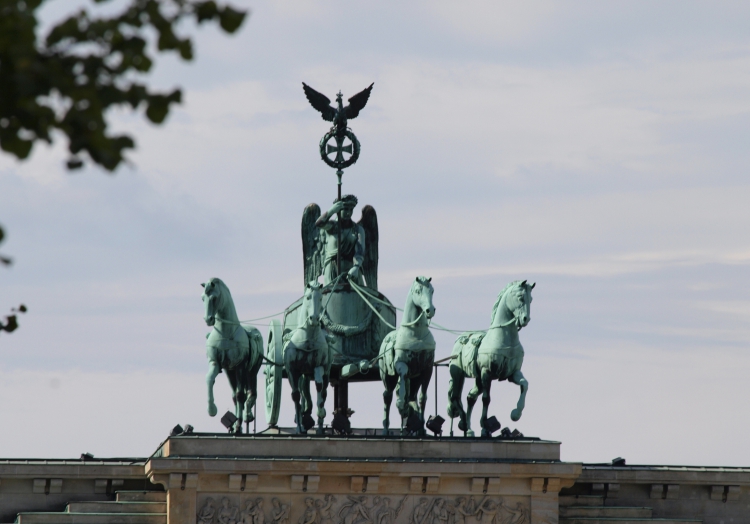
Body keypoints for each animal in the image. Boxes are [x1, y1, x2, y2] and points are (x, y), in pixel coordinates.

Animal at [203, 276, 264, 432]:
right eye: (202, 298)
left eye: (214, 298)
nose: (208, 319)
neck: (225, 332)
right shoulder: (217, 364)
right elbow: (209, 379)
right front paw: (212, 409)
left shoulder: (240, 366)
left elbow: (241, 395)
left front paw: (238, 424)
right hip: (230, 372)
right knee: (235, 396)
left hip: (251, 371)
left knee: (250, 393)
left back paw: (246, 416)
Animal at [284, 282, 330, 434]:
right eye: (308, 297)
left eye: (321, 298)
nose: (314, 319)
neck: (308, 340)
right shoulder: (292, 371)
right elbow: (296, 396)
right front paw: (299, 426)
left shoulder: (318, 366)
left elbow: (319, 390)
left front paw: (320, 414)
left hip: (326, 371)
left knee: (324, 392)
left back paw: (320, 427)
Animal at [378, 276, 438, 436]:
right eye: (417, 291)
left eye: (432, 290)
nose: (430, 310)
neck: (416, 334)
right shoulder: (400, 365)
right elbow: (403, 378)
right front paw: (401, 406)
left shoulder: (427, 370)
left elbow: (422, 398)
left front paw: (422, 428)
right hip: (388, 377)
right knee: (387, 396)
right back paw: (386, 429)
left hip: (415, 379)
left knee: (411, 397)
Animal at [446, 280, 536, 436]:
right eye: (520, 297)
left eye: (530, 299)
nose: (525, 319)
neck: (503, 338)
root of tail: (459, 340)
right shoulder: (486, 372)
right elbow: (486, 399)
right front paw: (484, 426)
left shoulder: (513, 374)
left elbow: (525, 384)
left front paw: (515, 414)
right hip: (458, 375)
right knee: (456, 397)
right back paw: (464, 424)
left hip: (477, 379)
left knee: (470, 397)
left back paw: (469, 429)